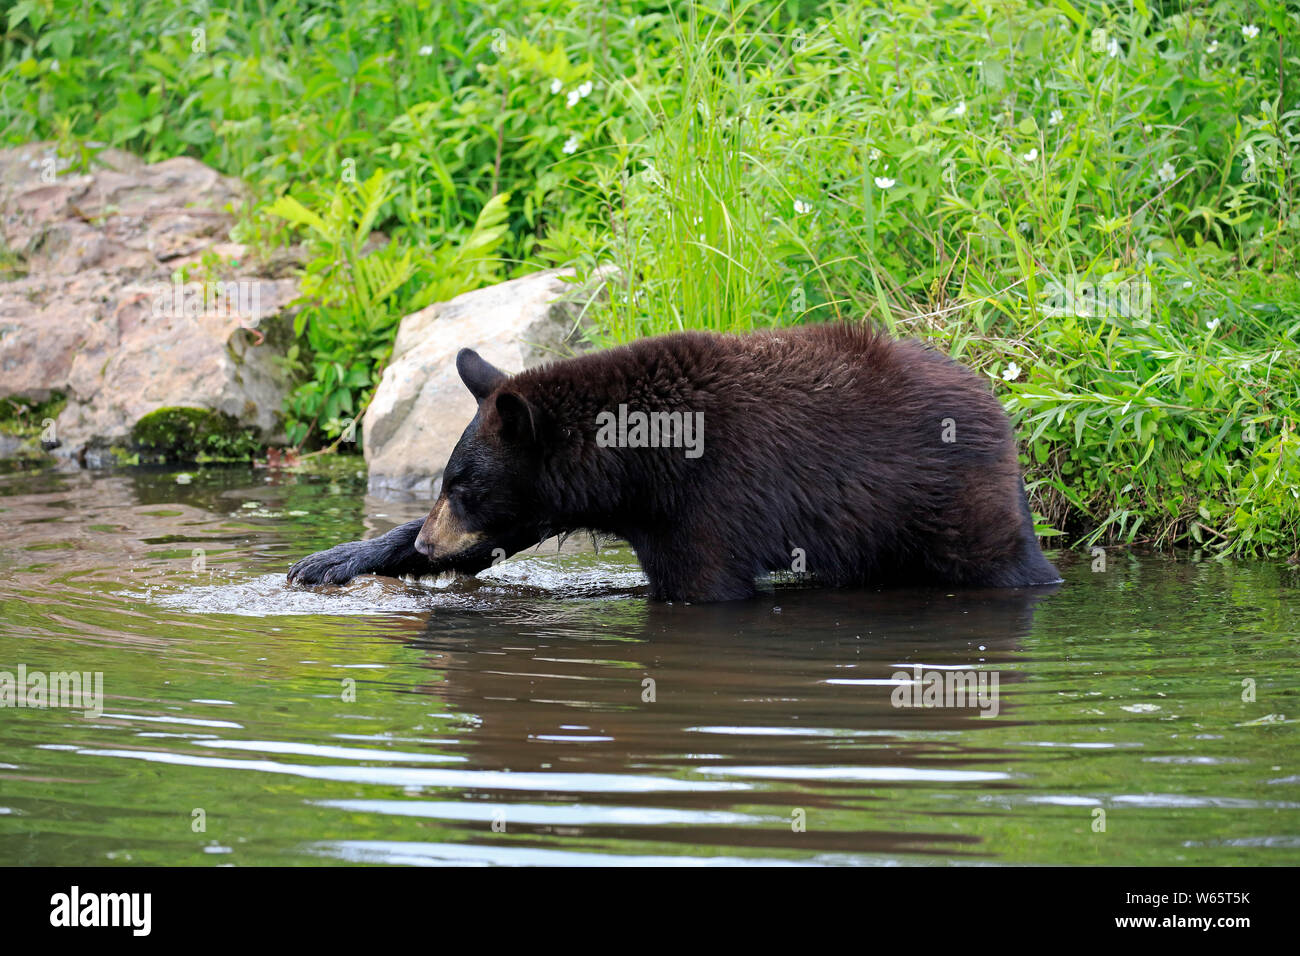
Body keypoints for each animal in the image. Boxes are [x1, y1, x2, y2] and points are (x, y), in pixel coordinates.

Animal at [284, 325, 1055, 600]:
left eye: (464, 485)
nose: (426, 542)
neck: (644, 460)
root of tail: (999, 408)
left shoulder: (715, 498)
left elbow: (703, 584)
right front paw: (332, 558)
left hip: (948, 504)